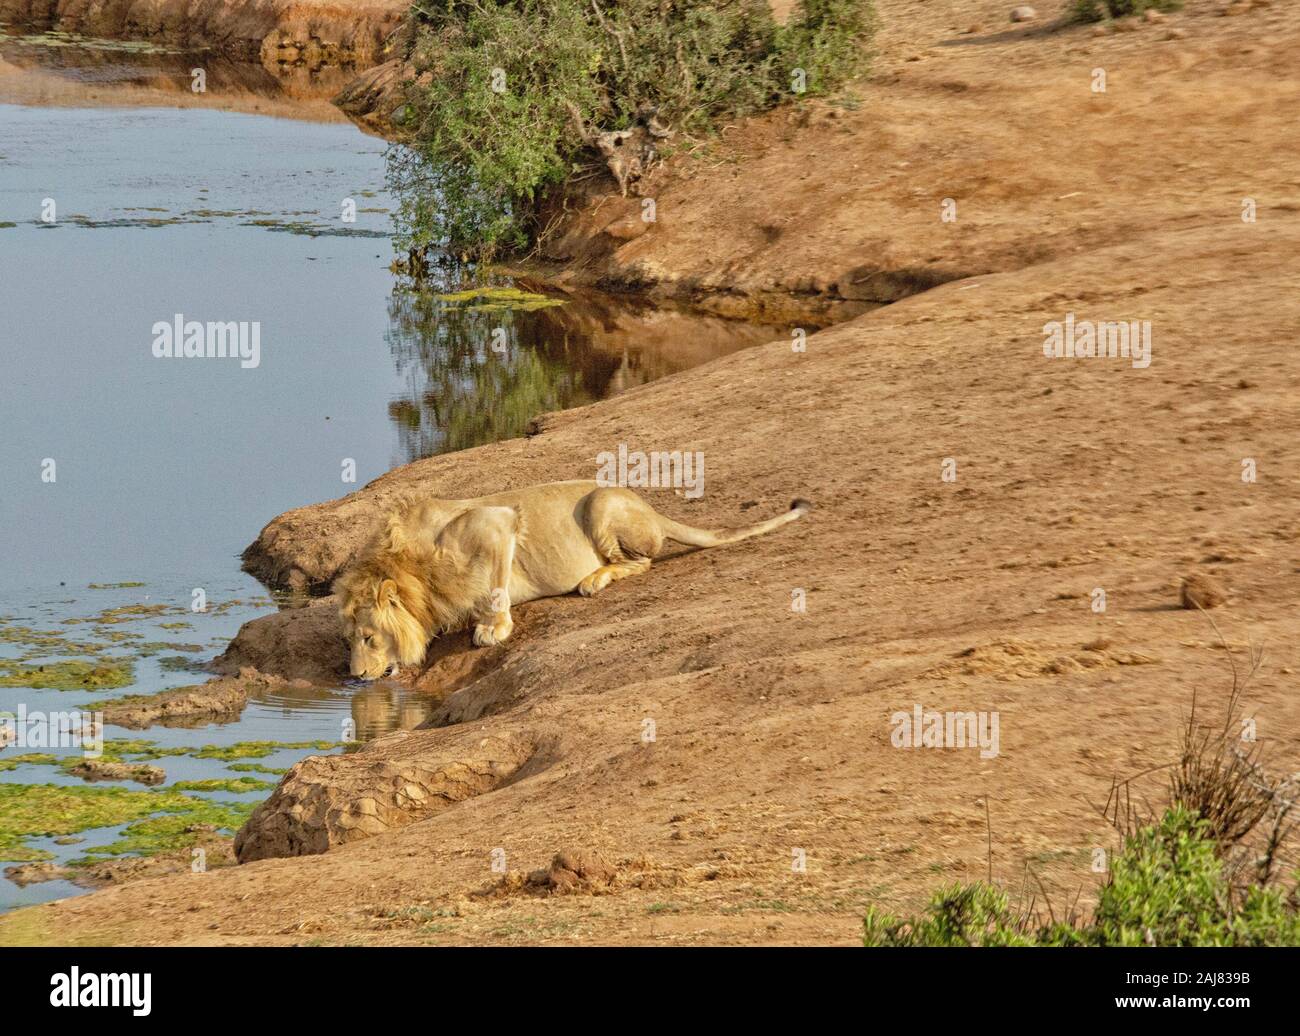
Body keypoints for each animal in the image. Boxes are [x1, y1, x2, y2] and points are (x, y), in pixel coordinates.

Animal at [332, 483, 800, 681]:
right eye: (349, 640)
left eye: (370, 638)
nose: (356, 677)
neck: (412, 569)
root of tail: (651, 509)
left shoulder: (498, 523)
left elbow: (496, 588)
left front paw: (493, 628)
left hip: (600, 505)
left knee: (643, 562)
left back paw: (594, 579)